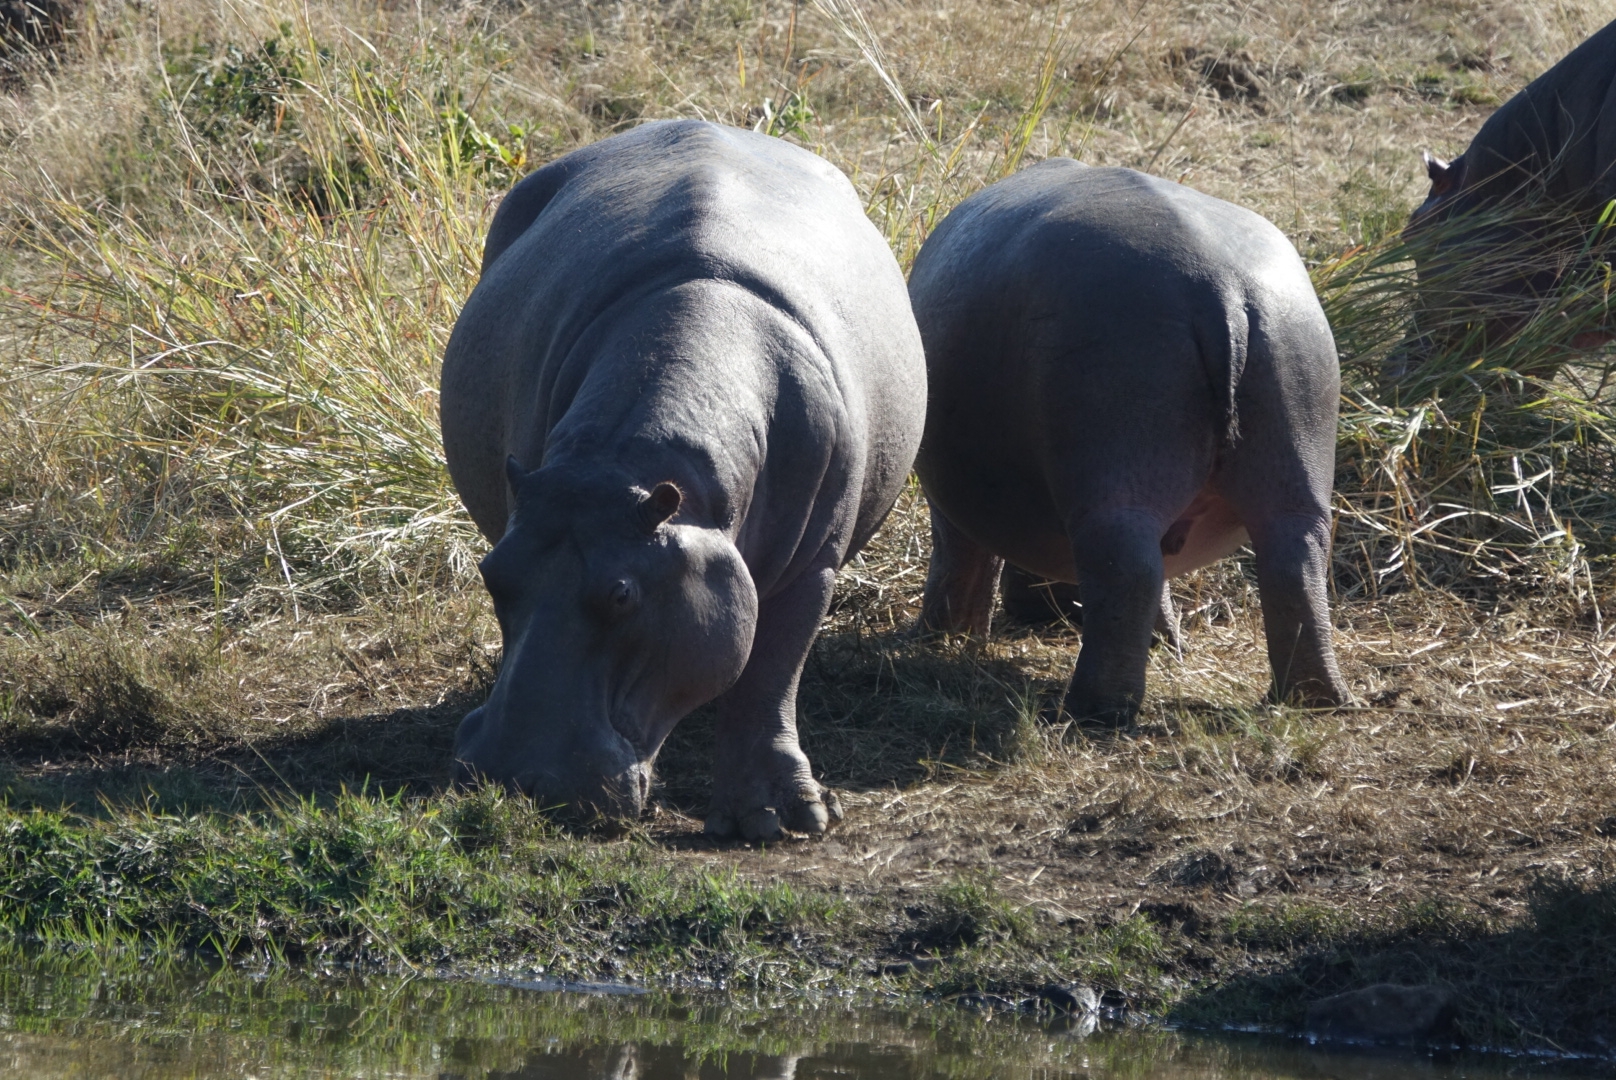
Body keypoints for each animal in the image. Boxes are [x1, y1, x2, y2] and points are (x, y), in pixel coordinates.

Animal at [439, 120, 924, 840]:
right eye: (491, 574)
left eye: (622, 595)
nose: (513, 778)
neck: (625, 465)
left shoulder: (815, 565)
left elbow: (771, 677)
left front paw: (782, 817)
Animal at [911, 160, 1350, 724]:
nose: (1034, 612)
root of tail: (1221, 290)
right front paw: (1168, 644)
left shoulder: (951, 500)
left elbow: (959, 561)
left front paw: (939, 638)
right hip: (1290, 462)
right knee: (1296, 564)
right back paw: (1312, 699)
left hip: (1114, 475)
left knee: (1126, 569)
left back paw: (1093, 709)